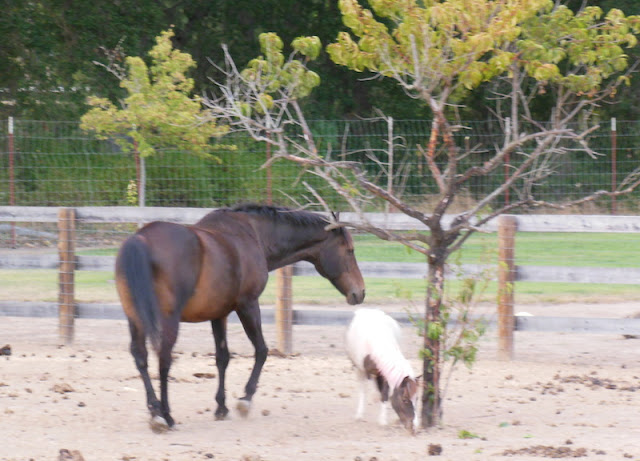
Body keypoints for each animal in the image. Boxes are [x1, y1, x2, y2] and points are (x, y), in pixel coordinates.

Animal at [115, 203, 364, 430]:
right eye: (350, 250)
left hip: (135, 319)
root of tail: (140, 240)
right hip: (168, 320)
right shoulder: (248, 305)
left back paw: (154, 411)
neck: (252, 234)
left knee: (140, 356)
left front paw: (221, 407)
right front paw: (245, 400)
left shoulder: (219, 314)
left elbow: (222, 358)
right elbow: (261, 350)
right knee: (164, 358)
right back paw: (166, 415)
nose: (359, 292)